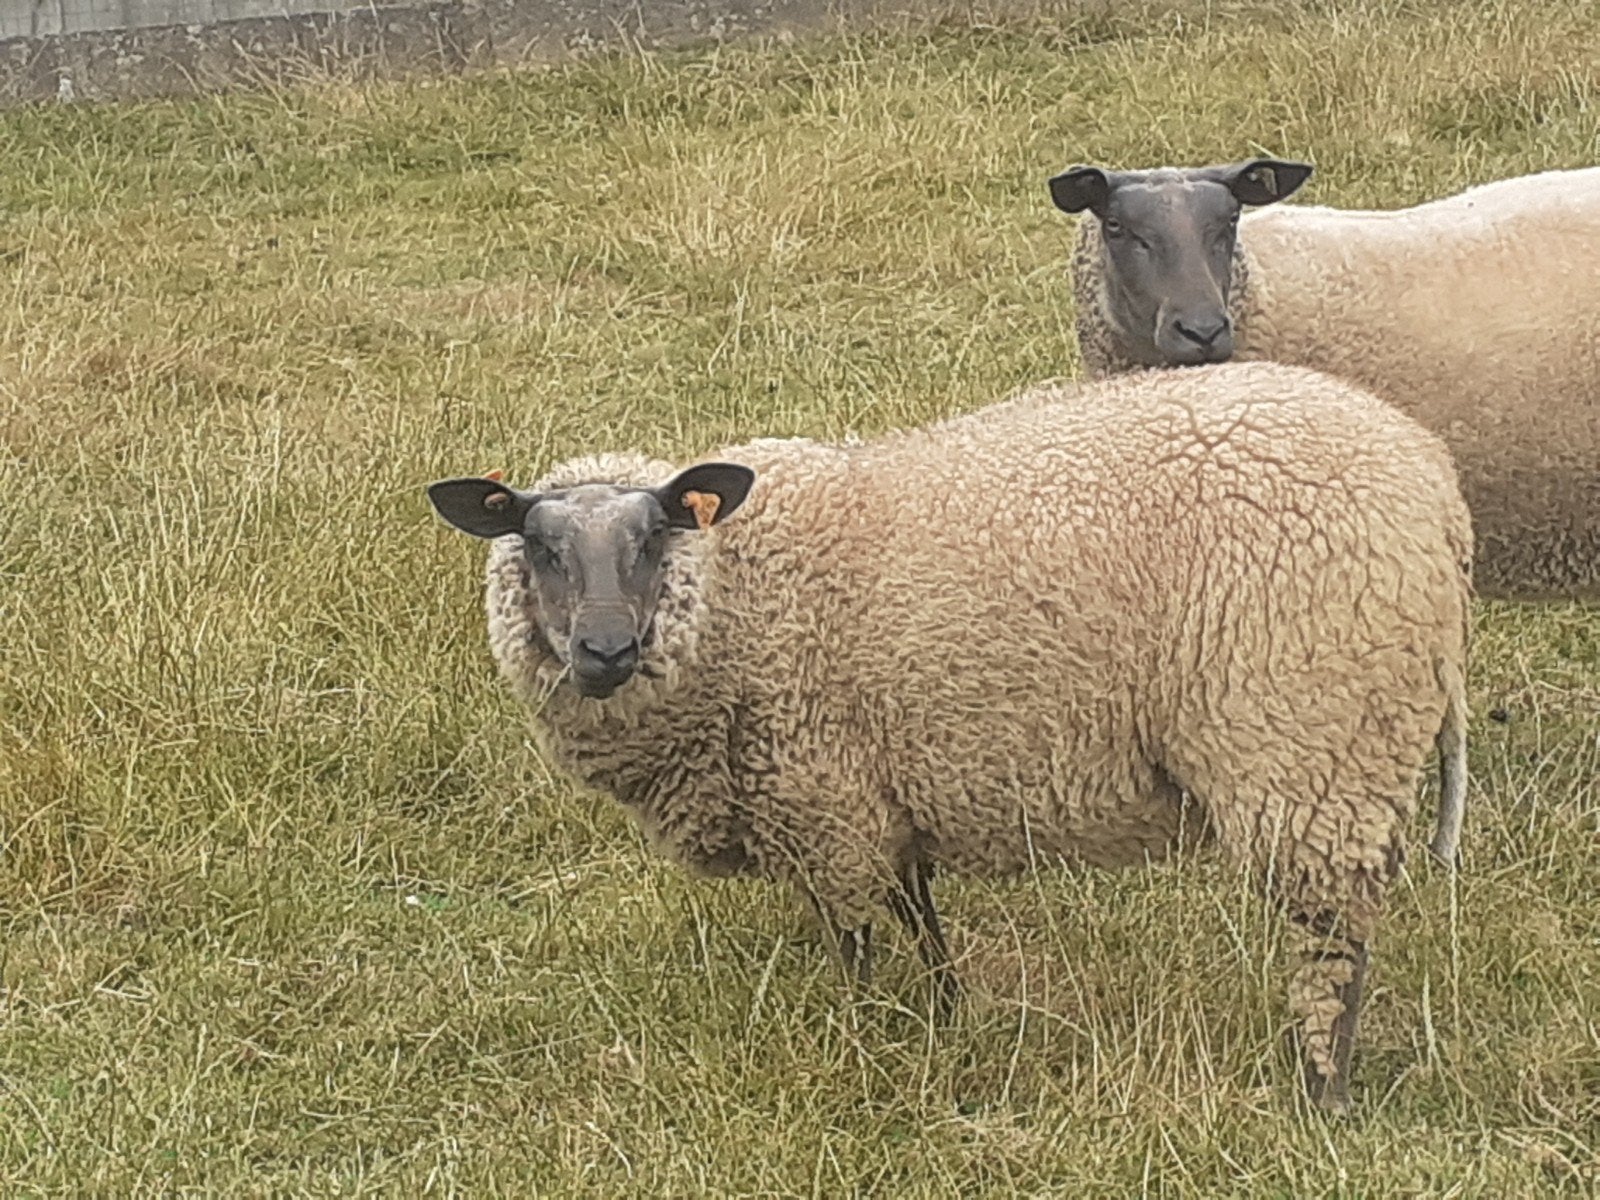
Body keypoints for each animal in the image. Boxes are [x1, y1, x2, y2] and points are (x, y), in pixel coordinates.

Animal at [426, 360, 1473, 1113]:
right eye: (538, 545)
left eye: (652, 537)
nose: (605, 651)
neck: (736, 598)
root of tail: (1435, 487)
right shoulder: (882, 786)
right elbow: (918, 913)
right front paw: (944, 1020)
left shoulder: (821, 799)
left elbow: (850, 936)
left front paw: (862, 1041)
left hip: (1310, 744)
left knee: (1333, 940)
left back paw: (1320, 1091)